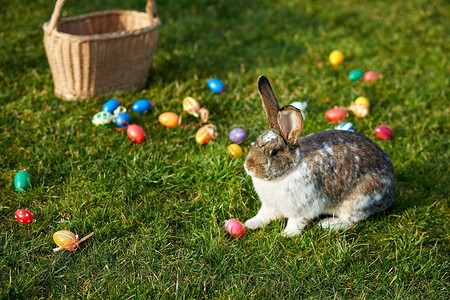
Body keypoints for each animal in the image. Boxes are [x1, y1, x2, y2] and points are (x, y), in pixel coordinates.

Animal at [244, 76, 396, 236]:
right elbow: (264, 215)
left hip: (358, 201)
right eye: (257, 142)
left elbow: (295, 222)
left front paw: (286, 235)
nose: (248, 167)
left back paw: (326, 224)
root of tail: (391, 190)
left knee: (351, 220)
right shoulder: (269, 206)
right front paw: (250, 223)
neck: (290, 170)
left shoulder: (303, 210)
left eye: (274, 152)